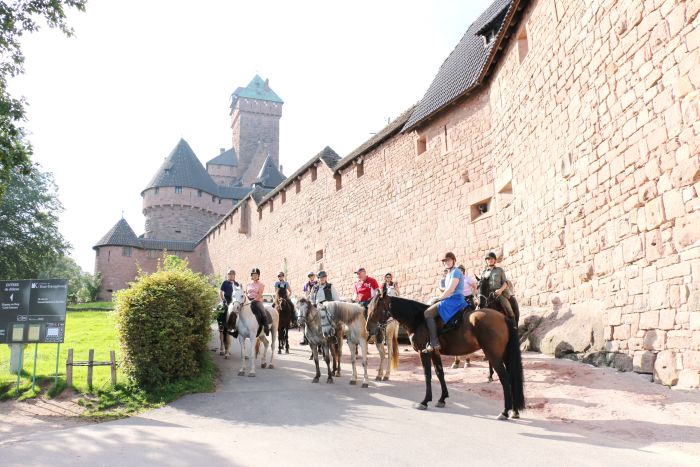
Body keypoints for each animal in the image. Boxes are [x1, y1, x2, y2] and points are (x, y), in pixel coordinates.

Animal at [366, 296, 524, 420]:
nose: (369, 329)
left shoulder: (424, 353)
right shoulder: (434, 353)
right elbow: (439, 373)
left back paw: (504, 412)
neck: (418, 319)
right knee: (513, 378)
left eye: (376, 307)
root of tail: (503, 317)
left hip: (494, 356)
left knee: (505, 379)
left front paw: (425, 401)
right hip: (504, 355)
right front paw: (442, 399)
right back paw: (514, 411)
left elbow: (427, 375)